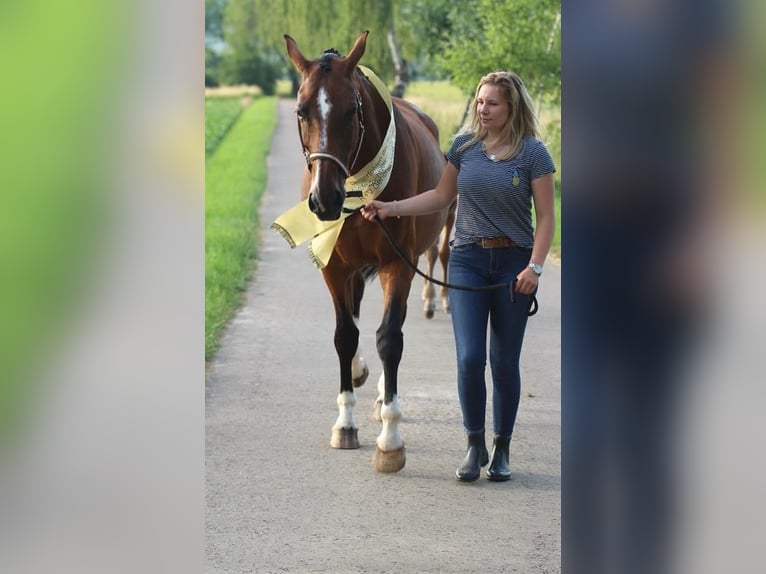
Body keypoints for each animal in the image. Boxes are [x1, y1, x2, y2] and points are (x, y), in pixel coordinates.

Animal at [280, 30, 450, 472]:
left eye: (349, 111)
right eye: (302, 111)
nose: (324, 200)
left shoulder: (398, 263)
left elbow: (389, 338)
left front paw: (390, 441)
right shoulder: (337, 268)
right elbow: (344, 336)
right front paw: (345, 423)